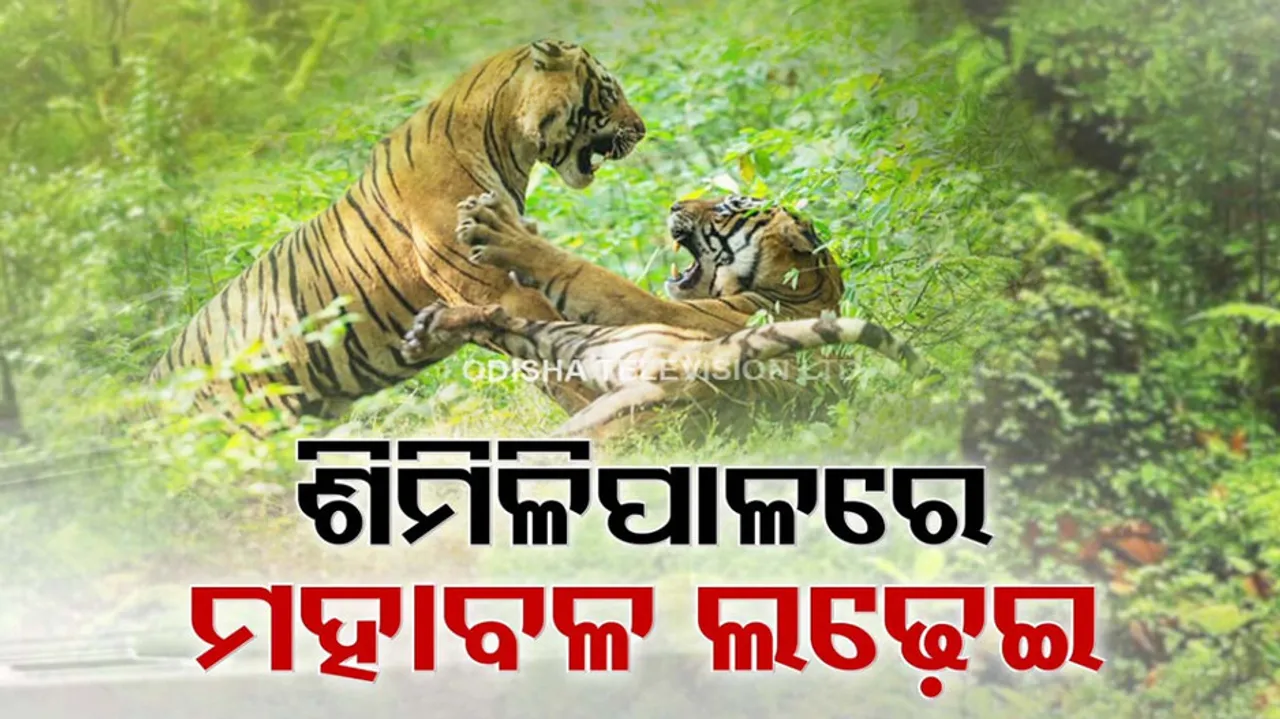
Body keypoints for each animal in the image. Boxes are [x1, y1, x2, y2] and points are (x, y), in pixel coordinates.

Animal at [147, 40, 645, 431]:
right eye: (609, 91)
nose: (641, 131)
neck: (507, 144)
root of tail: (151, 388)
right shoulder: (496, 288)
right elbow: (563, 356)